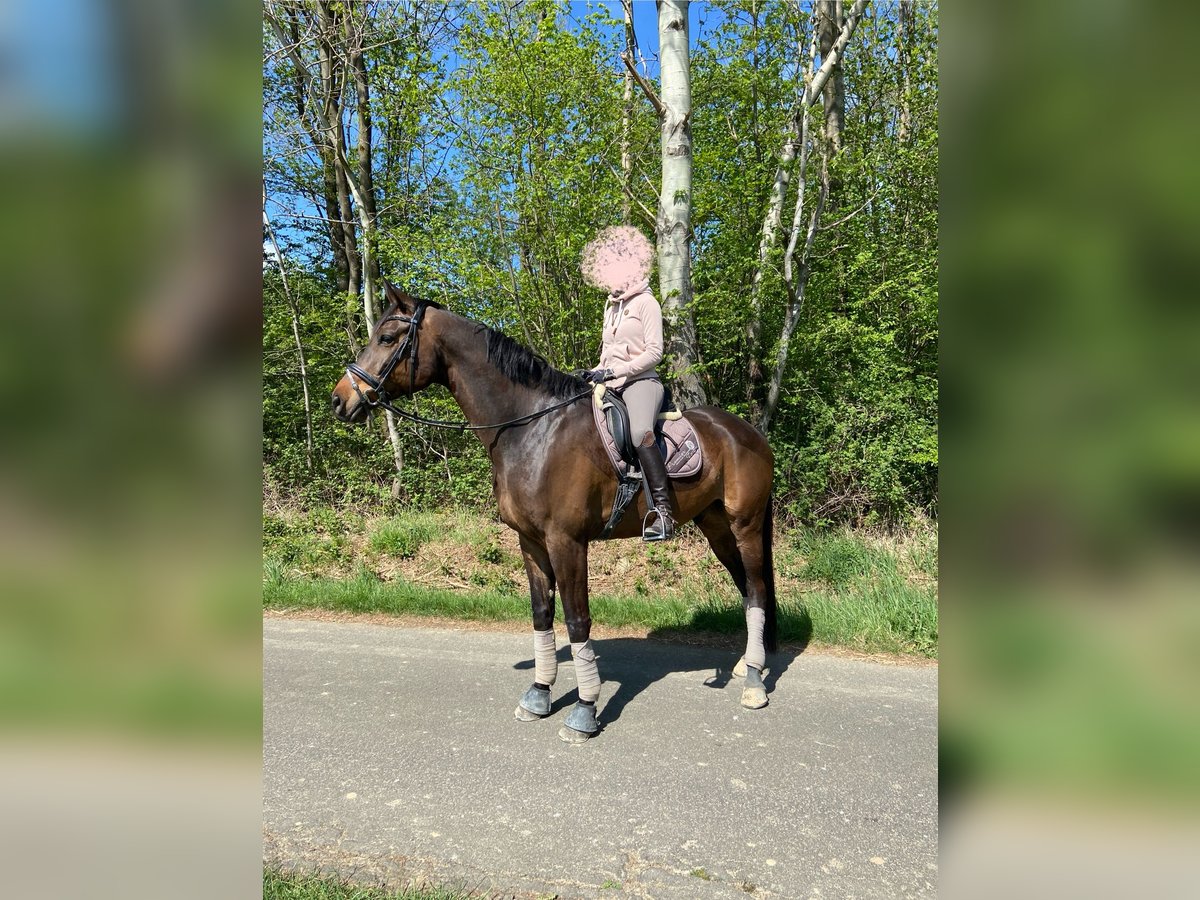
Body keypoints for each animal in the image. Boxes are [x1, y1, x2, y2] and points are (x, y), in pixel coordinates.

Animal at [331, 283, 777, 748]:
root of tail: (749, 433)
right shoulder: (530, 541)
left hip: (745, 526)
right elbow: (542, 615)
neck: (532, 429)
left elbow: (577, 621)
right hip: (715, 526)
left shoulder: (567, 541)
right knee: (747, 589)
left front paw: (584, 710)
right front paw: (539, 694)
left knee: (757, 589)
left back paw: (754, 684)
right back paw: (748, 666)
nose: (339, 399)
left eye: (386, 338)